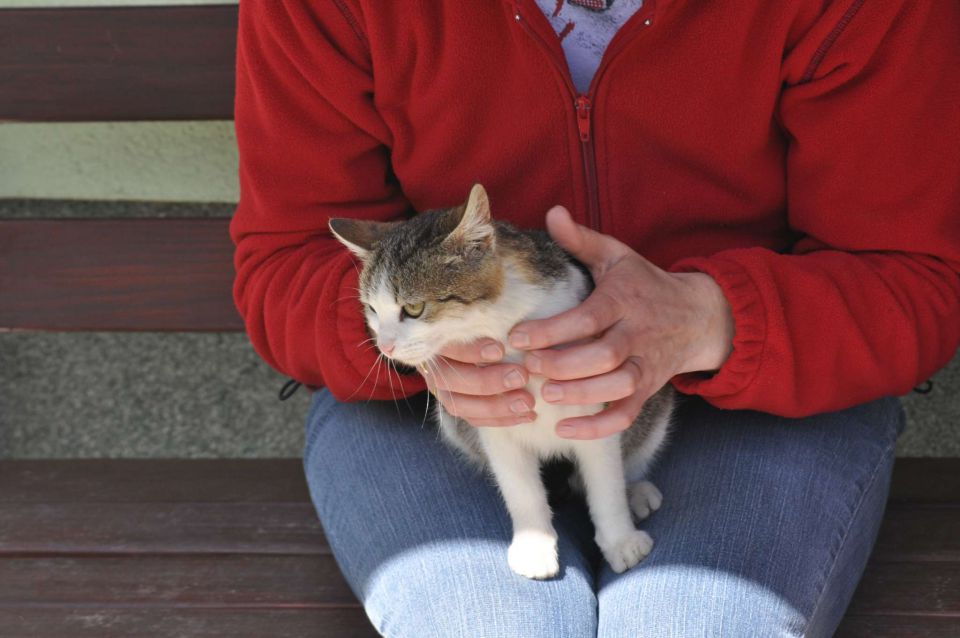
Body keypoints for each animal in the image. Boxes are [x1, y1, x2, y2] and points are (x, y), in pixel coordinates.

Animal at [330, 184, 676, 580]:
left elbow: (605, 485)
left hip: (656, 403)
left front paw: (621, 541)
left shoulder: (595, 409)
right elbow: (521, 489)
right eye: (372, 309)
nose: (384, 346)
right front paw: (534, 545)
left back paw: (636, 491)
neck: (498, 326)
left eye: (414, 309)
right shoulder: (493, 420)